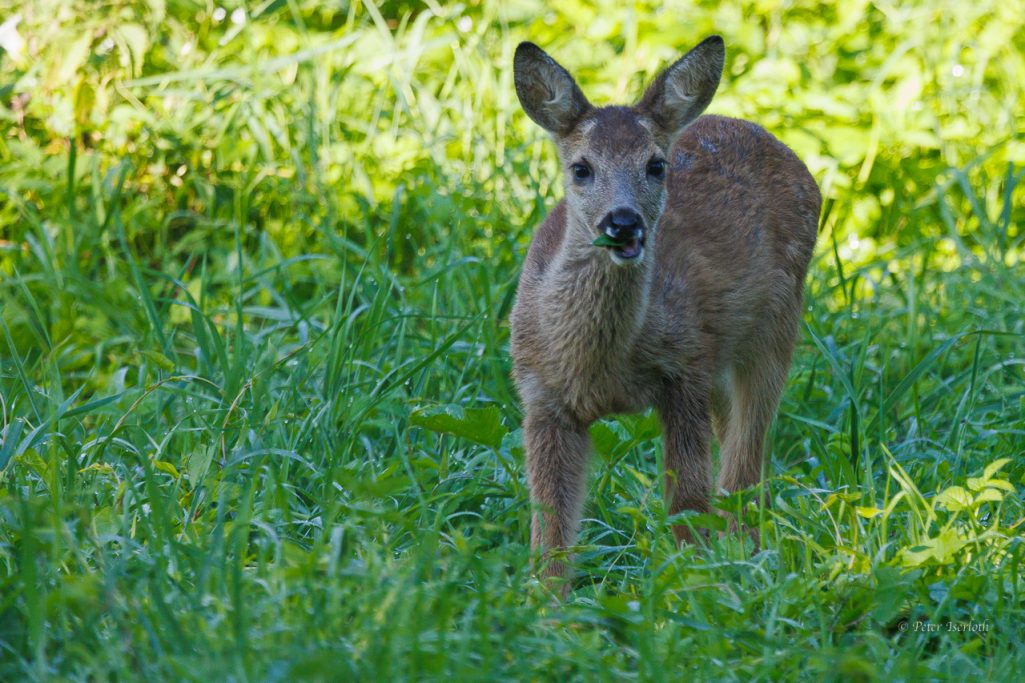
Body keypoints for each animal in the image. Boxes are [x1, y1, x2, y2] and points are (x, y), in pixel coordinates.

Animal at [508, 33, 820, 590]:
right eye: (581, 168)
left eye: (656, 165)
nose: (623, 222)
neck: (598, 367)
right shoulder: (540, 397)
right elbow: (551, 528)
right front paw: (545, 604)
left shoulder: (684, 370)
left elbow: (687, 505)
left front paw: (688, 588)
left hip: (776, 323)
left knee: (744, 464)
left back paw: (748, 560)